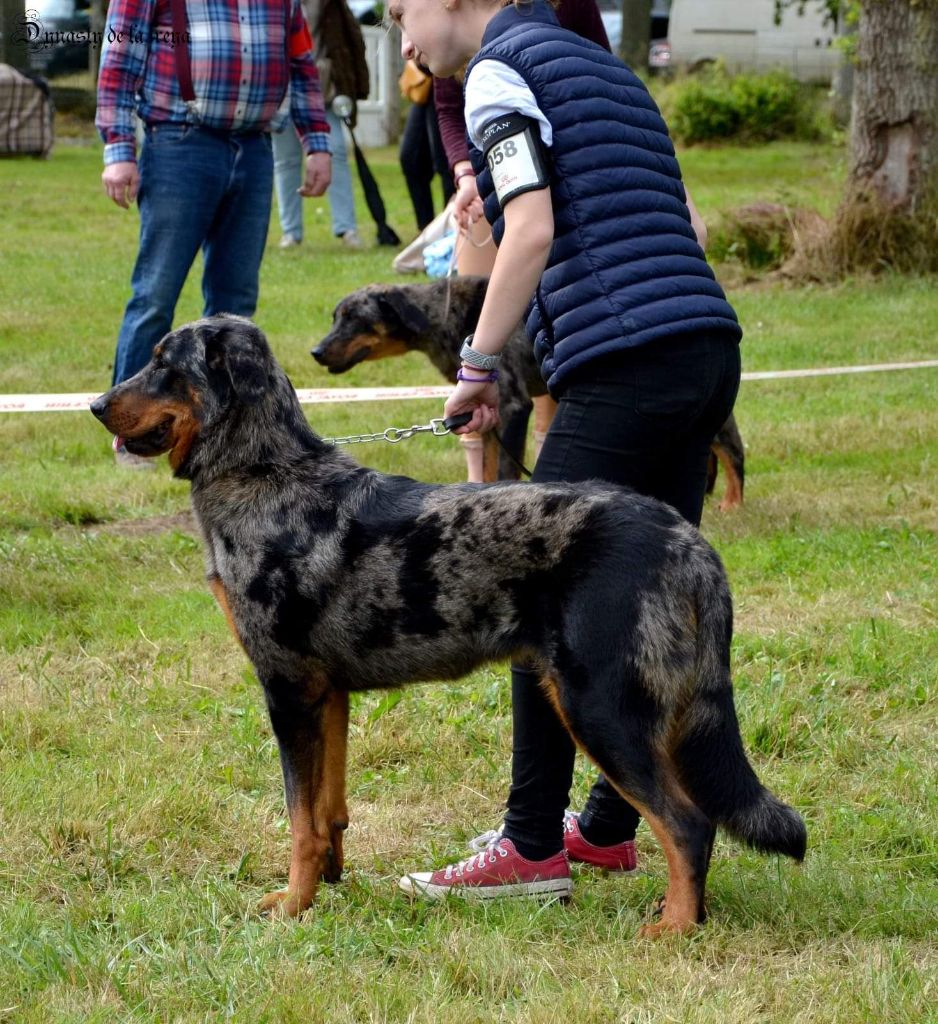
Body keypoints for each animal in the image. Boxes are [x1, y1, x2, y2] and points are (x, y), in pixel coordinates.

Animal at [91, 317, 802, 937]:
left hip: (601, 706)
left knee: (688, 825)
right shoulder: (329, 696)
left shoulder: (287, 691)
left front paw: (292, 906)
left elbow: (298, 820)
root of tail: (687, 541)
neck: (264, 470)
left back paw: (674, 929)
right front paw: (329, 884)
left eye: (163, 363)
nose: (96, 405)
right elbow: (329, 811)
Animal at [315, 278, 745, 505]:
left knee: (733, 452)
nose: (316, 351)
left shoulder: (513, 406)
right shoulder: (484, 413)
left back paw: (732, 503)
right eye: (335, 317)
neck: (446, 315)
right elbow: (488, 466)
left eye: (354, 319)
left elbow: (505, 469)